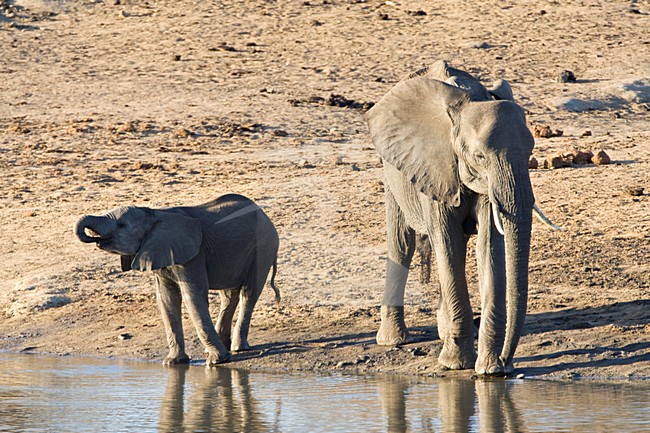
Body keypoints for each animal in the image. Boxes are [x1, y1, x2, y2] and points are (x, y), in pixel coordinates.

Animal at [74, 193, 280, 366]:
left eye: (121, 225)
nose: (94, 238)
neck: (155, 213)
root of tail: (266, 216)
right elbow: (166, 300)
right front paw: (173, 363)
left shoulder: (193, 256)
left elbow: (193, 297)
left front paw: (217, 362)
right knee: (229, 295)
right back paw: (218, 347)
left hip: (263, 247)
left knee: (248, 293)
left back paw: (237, 348)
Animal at [365, 60, 555, 375]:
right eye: (479, 157)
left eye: (531, 150)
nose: (508, 362)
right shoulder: (435, 164)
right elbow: (448, 242)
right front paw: (455, 365)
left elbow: (489, 247)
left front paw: (489, 370)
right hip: (393, 169)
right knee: (403, 245)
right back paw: (394, 340)